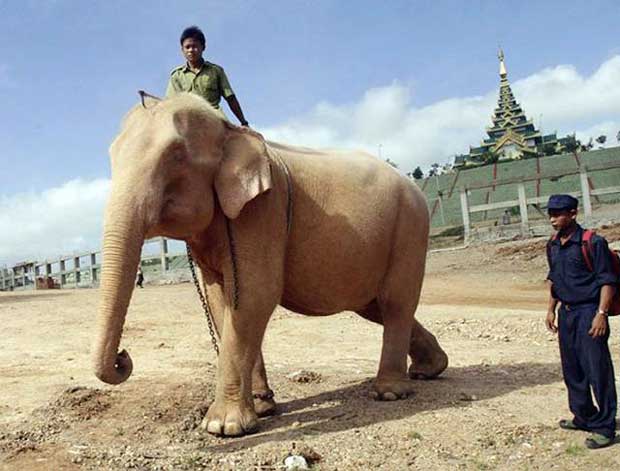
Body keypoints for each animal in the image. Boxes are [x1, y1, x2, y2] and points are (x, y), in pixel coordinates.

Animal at [93, 92, 446, 438]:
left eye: (176, 155)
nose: (123, 356)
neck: (229, 130)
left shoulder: (264, 209)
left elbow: (255, 295)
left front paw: (223, 427)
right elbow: (222, 302)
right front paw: (262, 409)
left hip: (410, 228)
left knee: (394, 302)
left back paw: (389, 392)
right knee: (375, 307)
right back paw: (431, 369)